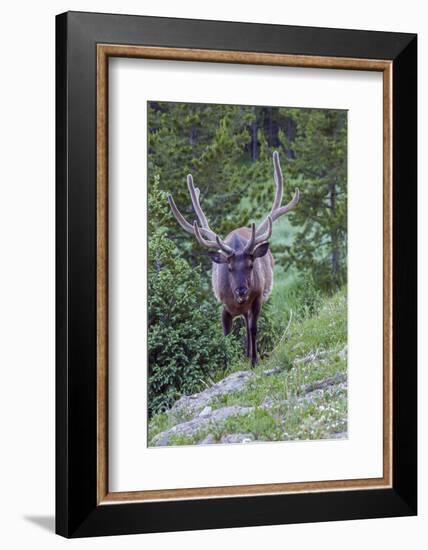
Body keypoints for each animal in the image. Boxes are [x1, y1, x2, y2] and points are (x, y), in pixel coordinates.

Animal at [168, 152, 300, 366]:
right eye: (229, 268)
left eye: (251, 264)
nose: (241, 290)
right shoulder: (223, 305)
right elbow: (226, 335)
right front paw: (227, 362)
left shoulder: (257, 299)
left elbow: (253, 329)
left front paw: (254, 360)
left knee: (247, 325)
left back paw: (249, 353)